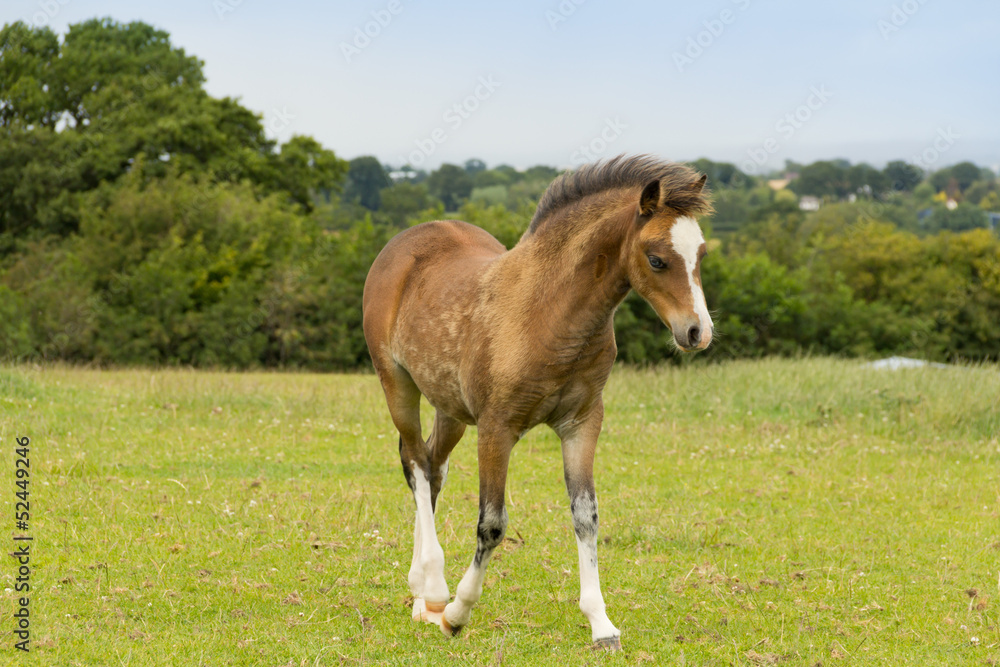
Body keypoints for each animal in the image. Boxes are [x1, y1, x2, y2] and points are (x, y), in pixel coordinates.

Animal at [362, 155, 714, 650]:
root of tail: (402, 244)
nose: (698, 332)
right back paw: (433, 589)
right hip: (398, 385)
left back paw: (421, 598)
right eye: (657, 258)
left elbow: (586, 516)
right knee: (415, 464)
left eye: (701, 254)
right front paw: (457, 614)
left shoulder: (582, 423)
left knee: (432, 467)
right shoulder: (497, 428)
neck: (551, 313)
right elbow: (492, 524)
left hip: (450, 407)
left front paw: (601, 624)